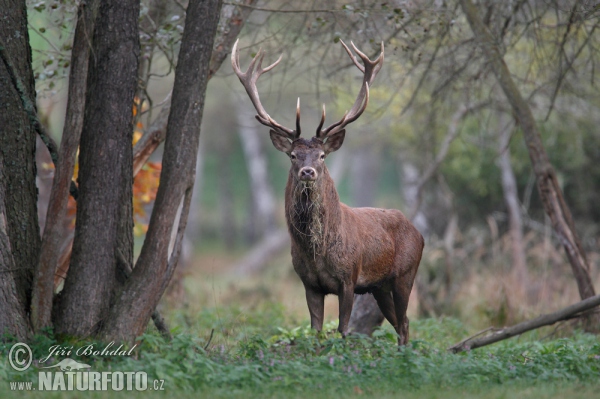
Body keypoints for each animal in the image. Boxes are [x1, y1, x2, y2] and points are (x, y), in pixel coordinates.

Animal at [232, 41, 424, 346]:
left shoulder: (349, 278)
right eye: (293, 155)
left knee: (405, 322)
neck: (317, 252)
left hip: (405, 274)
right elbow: (316, 330)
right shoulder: (309, 283)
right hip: (379, 287)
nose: (307, 171)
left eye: (322, 155)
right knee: (400, 322)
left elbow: (343, 329)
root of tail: (419, 233)